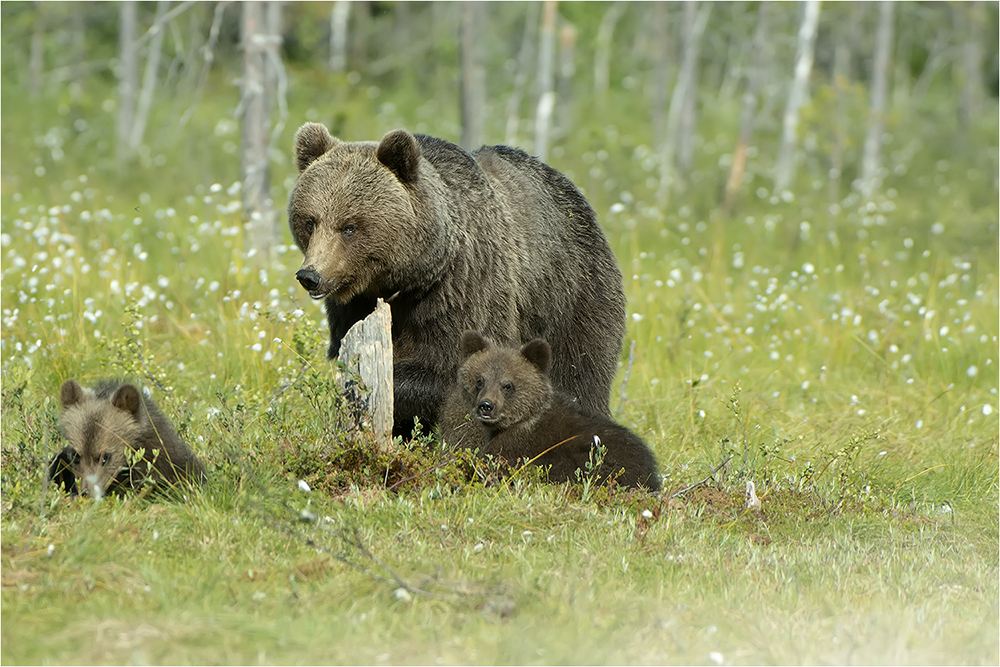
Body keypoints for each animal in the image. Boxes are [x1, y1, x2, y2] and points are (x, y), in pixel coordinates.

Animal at [286, 125, 624, 438]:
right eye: (310, 221)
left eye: (350, 226)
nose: (310, 276)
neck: (411, 278)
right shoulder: (355, 308)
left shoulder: (462, 288)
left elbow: (452, 366)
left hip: (572, 297)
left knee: (581, 373)